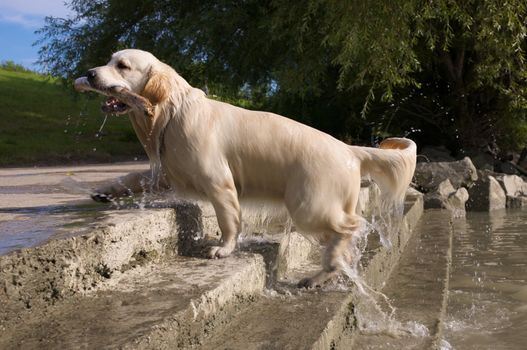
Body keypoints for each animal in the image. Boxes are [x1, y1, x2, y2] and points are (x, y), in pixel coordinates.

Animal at [74, 50, 416, 288]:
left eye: (122, 65)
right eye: (109, 60)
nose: (88, 73)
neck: (171, 110)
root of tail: (349, 149)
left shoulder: (218, 182)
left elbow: (228, 221)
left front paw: (224, 249)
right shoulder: (167, 171)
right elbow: (130, 176)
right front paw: (102, 192)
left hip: (308, 206)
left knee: (352, 227)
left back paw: (325, 268)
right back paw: (321, 276)